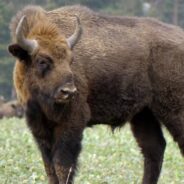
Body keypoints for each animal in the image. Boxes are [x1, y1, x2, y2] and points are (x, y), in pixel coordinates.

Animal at [7, 4, 183, 184]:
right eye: (42, 61)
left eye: (71, 60)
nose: (68, 91)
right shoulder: (39, 128)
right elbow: (50, 168)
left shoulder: (72, 123)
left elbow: (62, 165)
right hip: (143, 114)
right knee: (154, 148)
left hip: (173, 111)